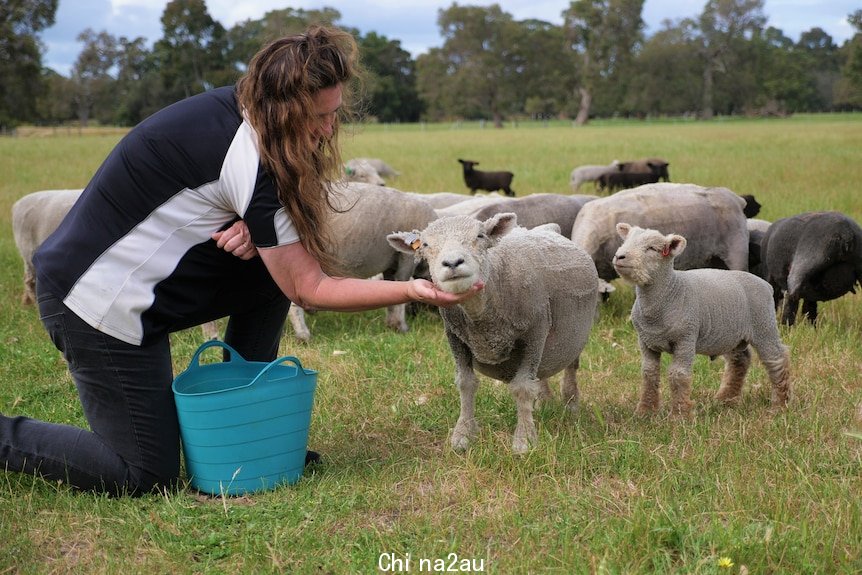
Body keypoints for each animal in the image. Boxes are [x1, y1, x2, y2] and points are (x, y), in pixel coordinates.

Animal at [388, 213, 596, 454]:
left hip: (573, 336)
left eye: (480, 236)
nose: (452, 263)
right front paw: (463, 435)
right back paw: (543, 403)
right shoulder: (455, 337)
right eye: (425, 245)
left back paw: (571, 405)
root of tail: (547, 228)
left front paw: (524, 439)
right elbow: (466, 383)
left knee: (570, 368)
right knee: (542, 371)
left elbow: (522, 387)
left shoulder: (535, 333)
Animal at [616, 223, 788, 416]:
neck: (670, 291)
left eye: (652, 248)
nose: (619, 256)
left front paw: (680, 414)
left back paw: (780, 405)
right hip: (731, 334)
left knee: (776, 359)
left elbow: (678, 374)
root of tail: (765, 284)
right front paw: (645, 411)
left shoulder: (685, 338)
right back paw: (726, 399)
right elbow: (648, 373)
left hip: (764, 325)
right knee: (740, 361)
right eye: (625, 242)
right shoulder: (646, 341)